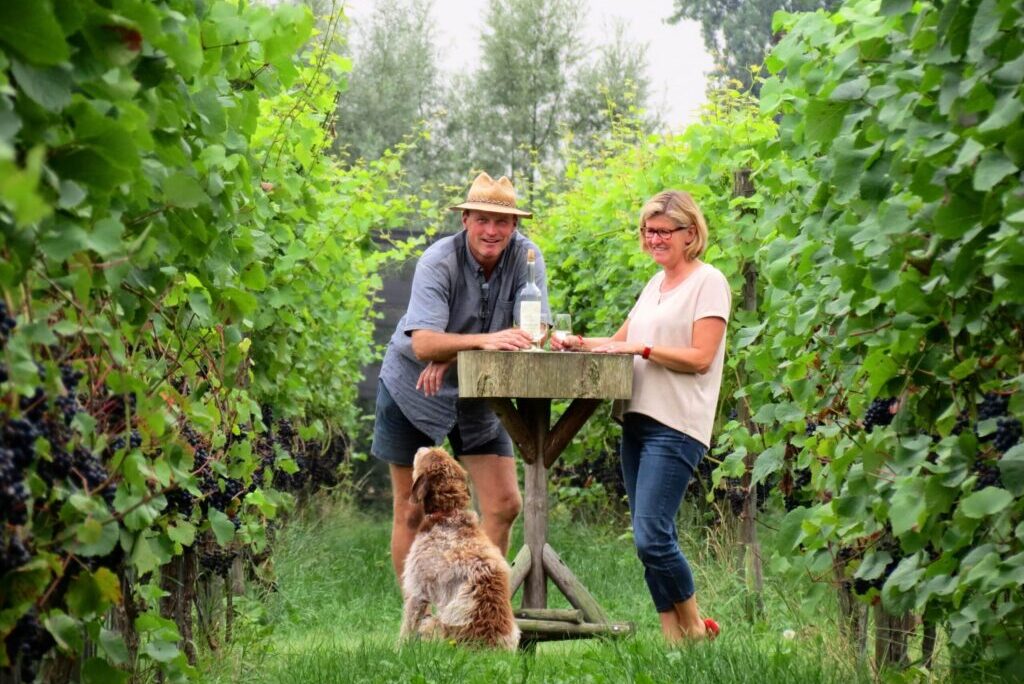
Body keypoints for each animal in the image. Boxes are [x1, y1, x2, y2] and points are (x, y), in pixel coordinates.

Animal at [399, 446, 520, 651]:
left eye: (428, 455)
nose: (421, 447)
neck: (449, 513)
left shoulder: (417, 589)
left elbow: (406, 628)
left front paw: (397, 651)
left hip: (432, 623)